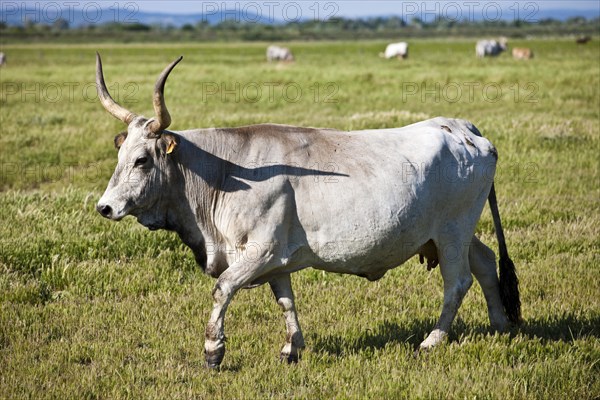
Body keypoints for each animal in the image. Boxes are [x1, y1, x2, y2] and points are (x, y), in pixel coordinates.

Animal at [96, 53, 516, 368]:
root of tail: (462, 127)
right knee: (485, 262)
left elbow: (223, 289)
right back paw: (501, 323)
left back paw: (433, 339)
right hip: (456, 233)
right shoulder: (276, 260)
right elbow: (286, 300)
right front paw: (291, 347)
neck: (224, 172)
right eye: (119, 155)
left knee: (457, 281)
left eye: (142, 160)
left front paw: (213, 351)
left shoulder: (259, 251)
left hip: (452, 232)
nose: (105, 207)